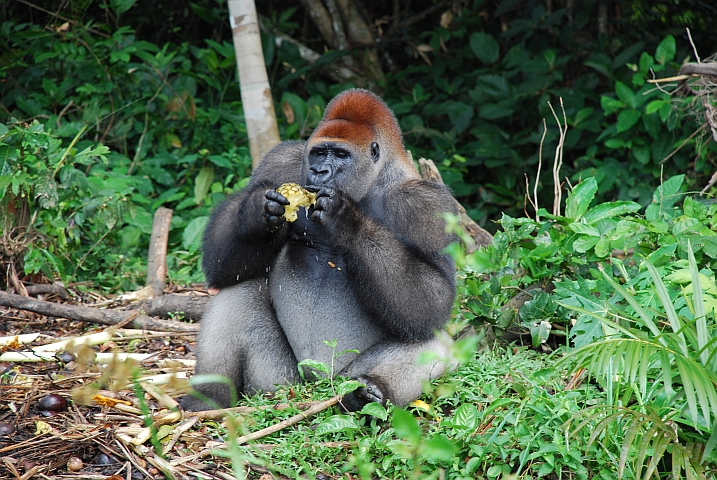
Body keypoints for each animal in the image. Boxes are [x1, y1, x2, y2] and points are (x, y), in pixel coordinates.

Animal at [182, 89, 456, 412]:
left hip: (338, 379)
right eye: (318, 153)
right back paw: (209, 395)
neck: (375, 179)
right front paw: (257, 210)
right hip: (278, 384)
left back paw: (371, 391)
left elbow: (433, 301)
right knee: (238, 291)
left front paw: (345, 220)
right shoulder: (281, 160)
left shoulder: (426, 204)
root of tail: (315, 388)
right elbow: (223, 264)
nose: (319, 170)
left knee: (434, 341)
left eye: (340, 155)